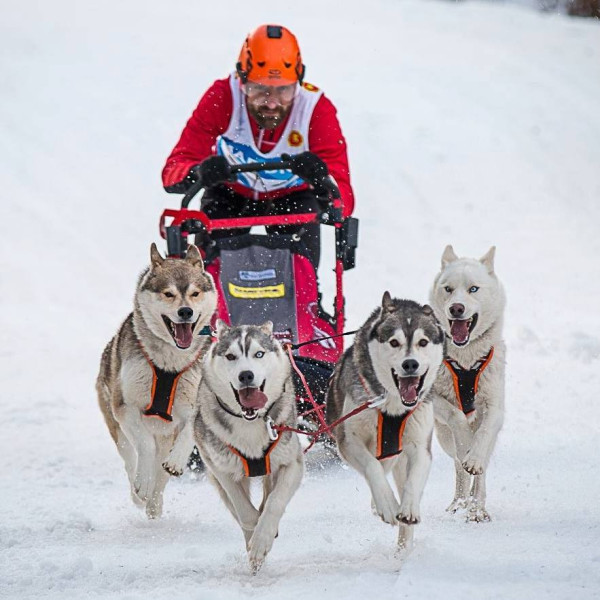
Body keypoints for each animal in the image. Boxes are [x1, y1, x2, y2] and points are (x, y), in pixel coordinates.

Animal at [97, 241, 219, 516]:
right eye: (168, 294)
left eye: (195, 293)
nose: (186, 311)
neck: (168, 365)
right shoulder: (126, 407)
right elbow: (145, 447)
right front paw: (142, 483)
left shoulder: (193, 408)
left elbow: (186, 437)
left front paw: (175, 462)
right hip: (118, 428)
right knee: (132, 459)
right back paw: (139, 492)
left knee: (161, 473)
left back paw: (154, 503)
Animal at [193, 322, 302, 576]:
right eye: (231, 356)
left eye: (258, 354)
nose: (246, 375)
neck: (249, 421)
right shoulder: (220, 468)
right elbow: (245, 512)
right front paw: (255, 540)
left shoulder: (291, 462)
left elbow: (274, 502)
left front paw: (262, 539)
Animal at [326, 292, 442, 552]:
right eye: (394, 342)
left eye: (423, 342)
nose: (410, 364)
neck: (393, 407)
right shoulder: (348, 441)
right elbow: (372, 467)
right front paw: (387, 504)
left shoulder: (420, 445)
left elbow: (414, 479)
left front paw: (408, 508)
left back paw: (403, 548)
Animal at [428, 244, 508, 520]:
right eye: (448, 289)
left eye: (473, 288)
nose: (456, 308)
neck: (465, 360)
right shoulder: (431, 398)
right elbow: (457, 417)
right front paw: (466, 445)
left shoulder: (495, 407)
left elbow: (482, 438)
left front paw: (473, 458)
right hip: (443, 437)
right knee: (457, 465)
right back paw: (458, 503)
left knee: (480, 470)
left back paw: (476, 508)